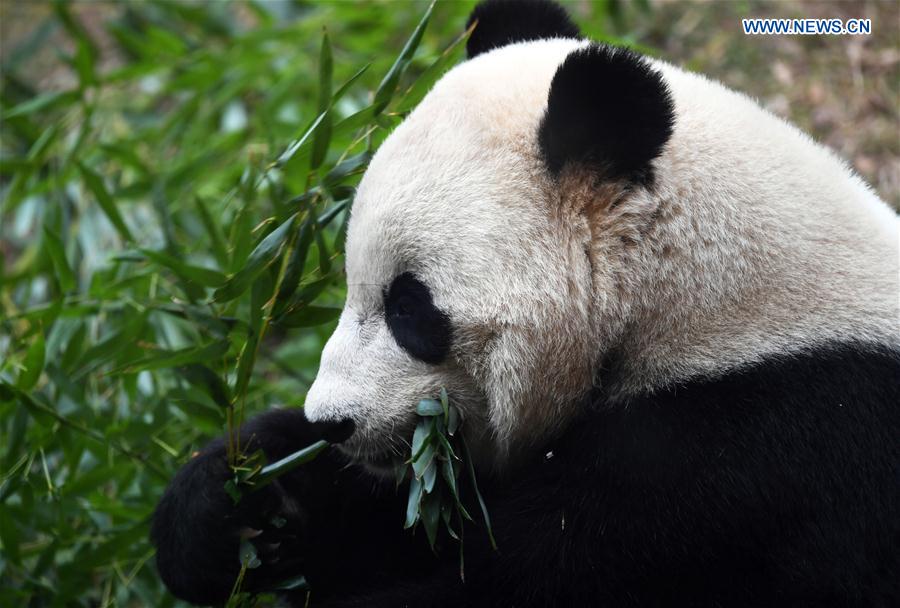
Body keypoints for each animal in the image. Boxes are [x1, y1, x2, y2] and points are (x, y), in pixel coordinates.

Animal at [155, 2, 900, 604]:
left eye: (409, 308)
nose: (333, 421)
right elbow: (419, 519)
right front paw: (237, 502)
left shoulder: (749, 459)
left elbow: (516, 575)